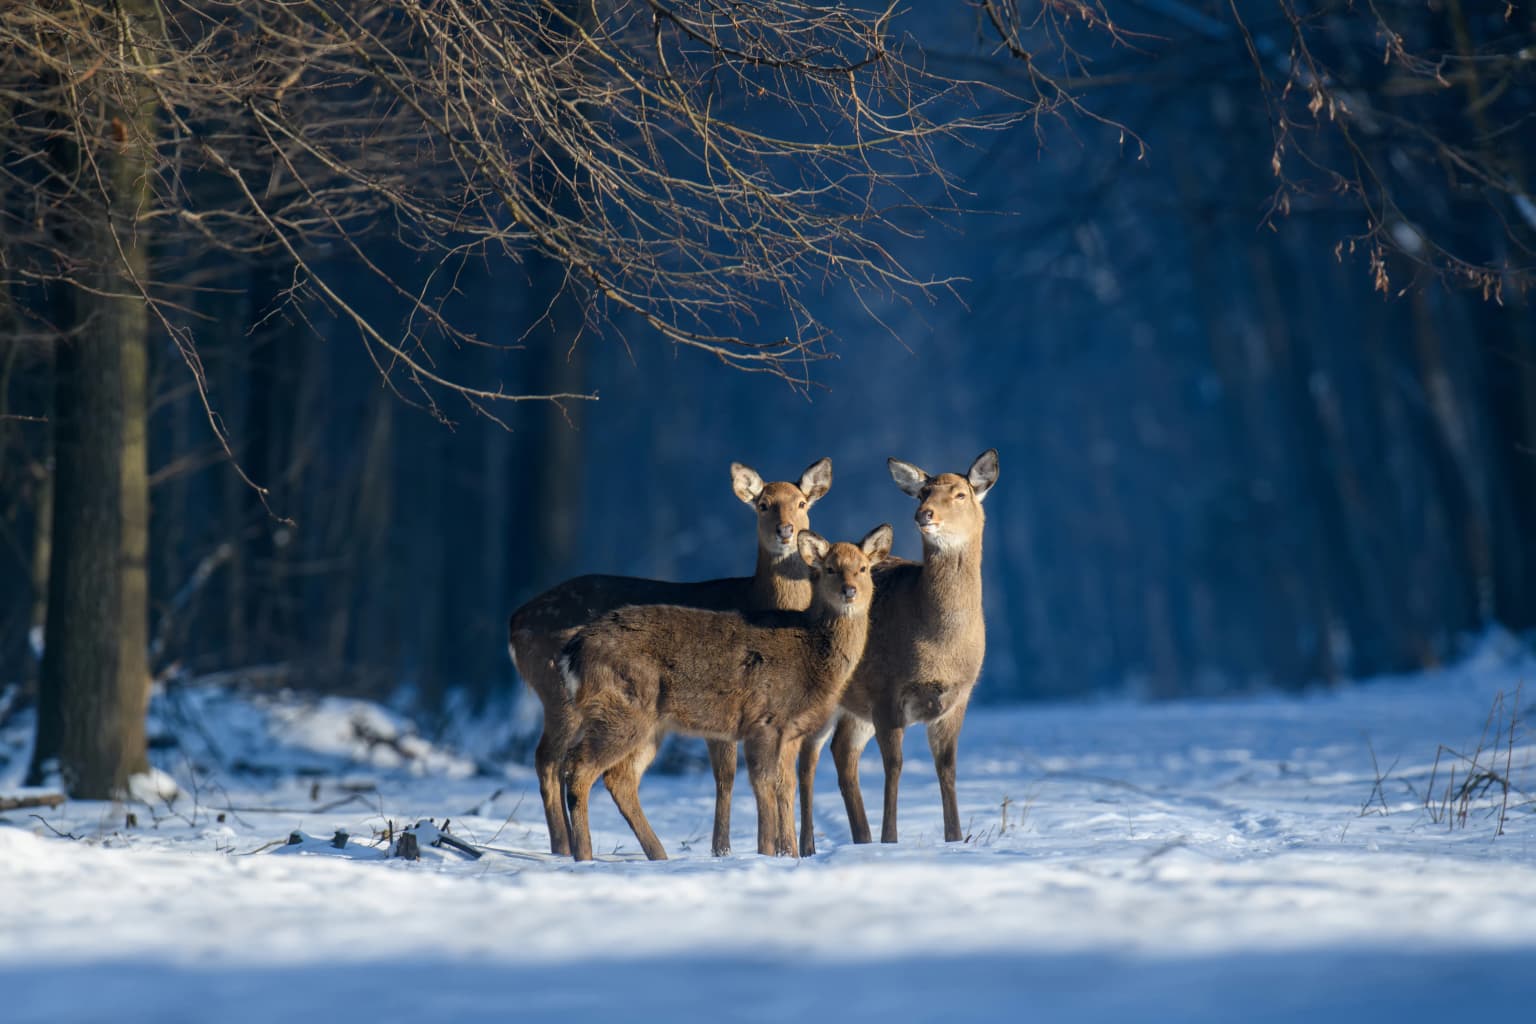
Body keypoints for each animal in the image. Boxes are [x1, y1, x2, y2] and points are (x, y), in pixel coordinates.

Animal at [507, 457, 832, 858]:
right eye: (763, 504)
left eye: (801, 503)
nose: (785, 531)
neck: (758, 600)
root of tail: (514, 621)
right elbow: (728, 775)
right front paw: (726, 850)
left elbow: (776, 778)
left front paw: (787, 851)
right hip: (559, 693)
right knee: (548, 759)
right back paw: (565, 847)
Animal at [558, 524, 893, 861]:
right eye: (830, 568)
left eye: (863, 568)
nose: (849, 590)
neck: (811, 654)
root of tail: (573, 652)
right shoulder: (764, 719)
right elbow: (764, 785)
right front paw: (767, 852)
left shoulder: (791, 732)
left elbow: (785, 786)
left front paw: (789, 854)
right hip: (622, 708)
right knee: (578, 767)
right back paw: (585, 855)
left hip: (650, 725)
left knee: (620, 778)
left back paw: (658, 855)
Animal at [797, 449, 998, 856]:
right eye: (922, 492)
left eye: (960, 494)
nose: (925, 515)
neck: (938, 647)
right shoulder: (886, 691)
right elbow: (895, 765)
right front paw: (891, 838)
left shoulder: (958, 697)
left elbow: (947, 767)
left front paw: (955, 837)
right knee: (807, 759)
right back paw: (808, 845)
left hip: (855, 707)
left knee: (842, 753)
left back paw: (861, 837)